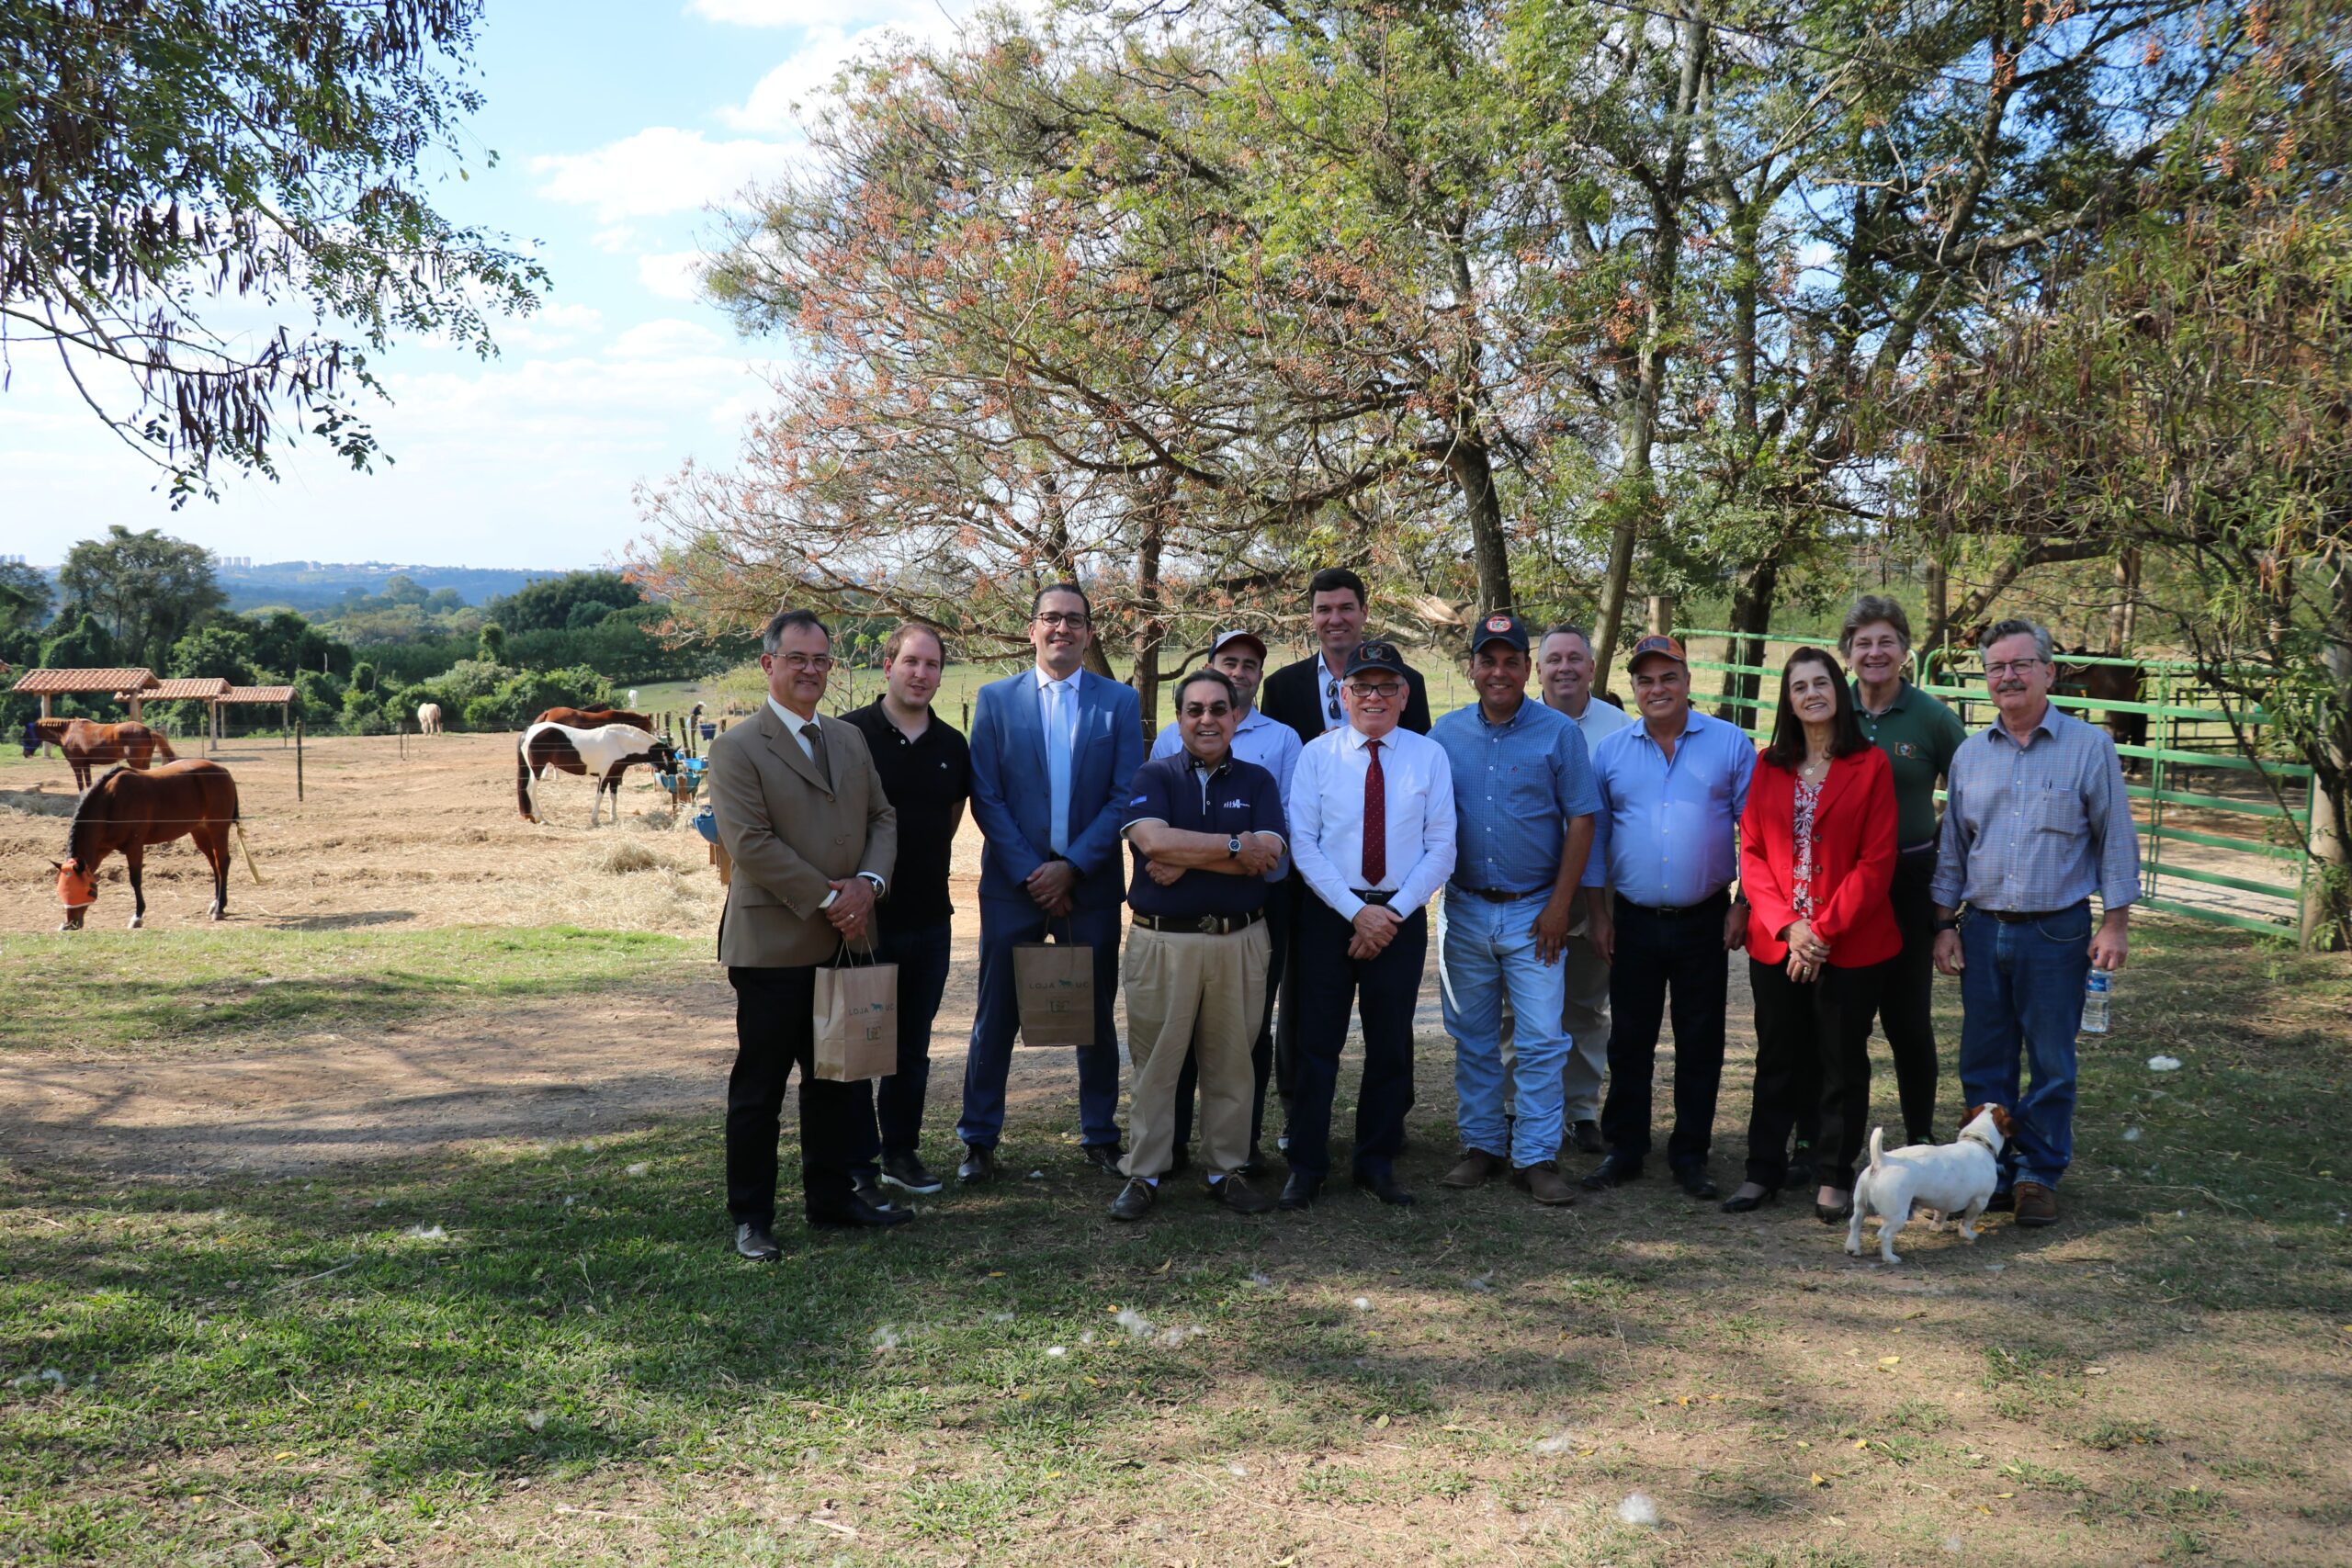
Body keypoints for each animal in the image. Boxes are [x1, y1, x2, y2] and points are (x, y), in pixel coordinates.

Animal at [30, 724, 175, 799]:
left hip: (136, 762)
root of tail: (148, 730)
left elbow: (80, 783)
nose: (27, 753)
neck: (68, 734)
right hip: (144, 761)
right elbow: (88, 782)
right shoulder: (86, 764)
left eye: (27, 732)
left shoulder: (76, 764)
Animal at [50, 761, 262, 931]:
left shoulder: (134, 846)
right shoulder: (100, 851)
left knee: (222, 863)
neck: (111, 801)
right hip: (200, 832)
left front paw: (138, 916)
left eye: (85, 890)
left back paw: (219, 908)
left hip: (218, 830)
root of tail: (223, 771)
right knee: (214, 864)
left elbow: (135, 880)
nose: (70, 924)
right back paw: (216, 904)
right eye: (61, 890)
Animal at [505, 719, 673, 827]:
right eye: (670, 759)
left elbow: (613, 797)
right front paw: (595, 820)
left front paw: (614, 818)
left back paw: (532, 817)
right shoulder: (604, 776)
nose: (675, 774)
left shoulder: (615, 776)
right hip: (537, 770)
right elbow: (599, 796)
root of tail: (528, 732)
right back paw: (542, 819)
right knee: (530, 790)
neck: (619, 742)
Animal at [1844, 1100, 2013, 1269]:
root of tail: (1881, 1161)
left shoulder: (1944, 1200)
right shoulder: (1980, 1201)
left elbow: (1941, 1214)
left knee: (1855, 1224)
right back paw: (1890, 1258)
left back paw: (1853, 1249)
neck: (1977, 1141)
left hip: (1860, 1206)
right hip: (1897, 1216)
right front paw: (1968, 1234)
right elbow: (1967, 1220)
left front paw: (1937, 1227)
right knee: (1884, 1234)